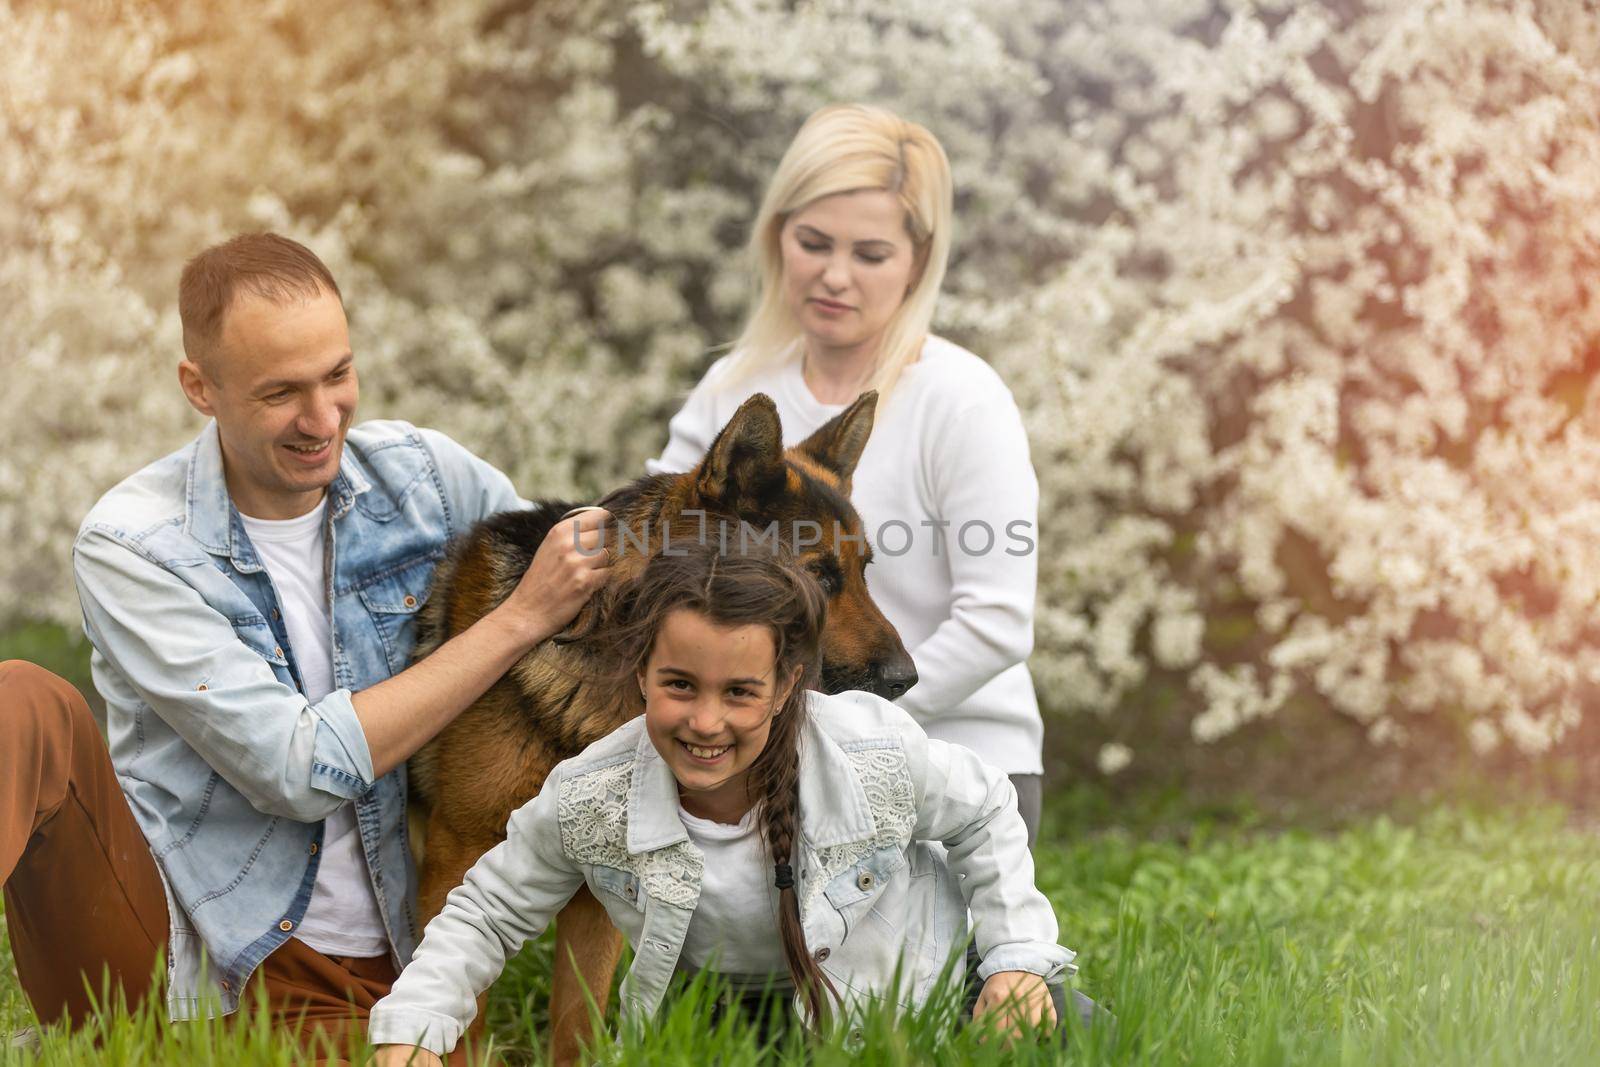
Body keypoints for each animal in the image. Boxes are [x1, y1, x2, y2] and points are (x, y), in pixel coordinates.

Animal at [406, 395, 921, 1067]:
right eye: (821, 576)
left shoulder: (596, 896)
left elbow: (578, 1022)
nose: (907, 678)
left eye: (863, 571)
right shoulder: (455, 856)